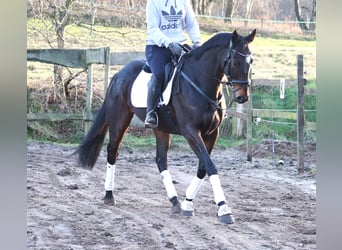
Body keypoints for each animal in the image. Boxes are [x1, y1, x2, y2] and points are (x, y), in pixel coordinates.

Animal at [75, 29, 256, 225]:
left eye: (250, 61)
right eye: (235, 62)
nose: (242, 97)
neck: (201, 84)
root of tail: (118, 75)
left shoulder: (212, 133)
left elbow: (203, 167)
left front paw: (187, 203)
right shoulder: (191, 131)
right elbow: (210, 165)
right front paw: (224, 209)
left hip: (160, 129)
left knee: (161, 159)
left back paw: (175, 201)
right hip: (119, 120)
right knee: (112, 151)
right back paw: (109, 195)